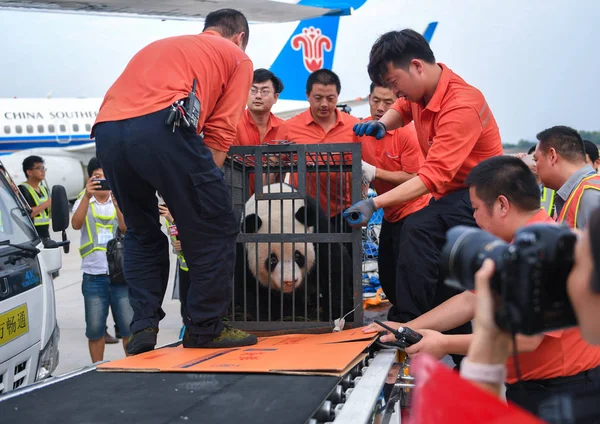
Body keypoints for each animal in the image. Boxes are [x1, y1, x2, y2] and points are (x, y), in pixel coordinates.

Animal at [232, 182, 354, 322]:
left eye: (297, 256)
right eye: (273, 259)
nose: (289, 281)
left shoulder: (319, 231)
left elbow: (333, 266)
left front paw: (337, 313)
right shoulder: (243, 248)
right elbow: (248, 285)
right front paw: (270, 315)